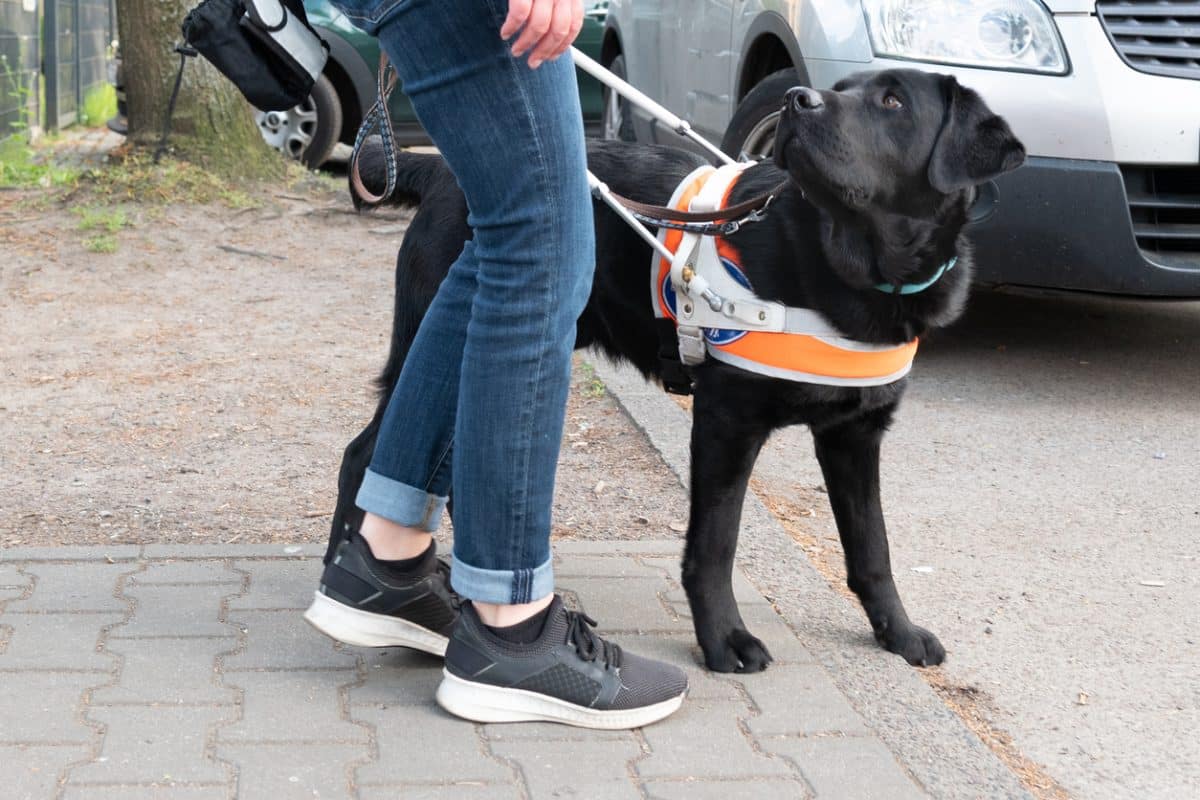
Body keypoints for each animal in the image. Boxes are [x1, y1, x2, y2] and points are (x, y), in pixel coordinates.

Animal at [328, 71, 1022, 676]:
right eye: (842, 88)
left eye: (892, 102)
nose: (798, 99)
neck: (847, 267)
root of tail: (439, 168)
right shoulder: (727, 422)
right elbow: (715, 545)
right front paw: (725, 639)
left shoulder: (855, 434)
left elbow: (872, 546)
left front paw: (897, 632)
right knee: (362, 455)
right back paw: (348, 573)